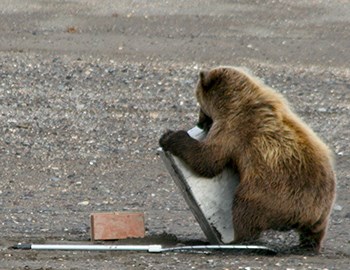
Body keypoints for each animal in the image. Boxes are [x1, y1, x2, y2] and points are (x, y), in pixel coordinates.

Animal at [159, 66, 336, 252]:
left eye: (200, 104)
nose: (200, 122)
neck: (234, 101)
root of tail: (307, 215)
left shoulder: (233, 129)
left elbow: (208, 161)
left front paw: (170, 136)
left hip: (273, 193)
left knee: (245, 208)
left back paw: (238, 240)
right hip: (321, 209)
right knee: (316, 230)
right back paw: (308, 245)